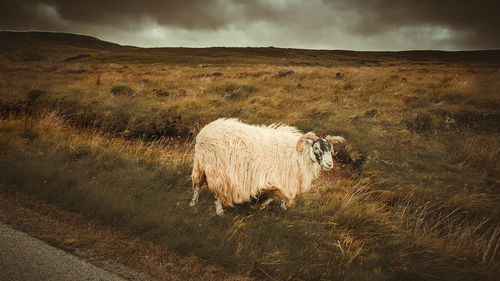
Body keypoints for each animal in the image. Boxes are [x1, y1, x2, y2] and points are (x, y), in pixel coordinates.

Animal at [188, 117, 344, 215]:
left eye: (331, 148)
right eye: (316, 147)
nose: (330, 164)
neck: (299, 154)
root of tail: (203, 134)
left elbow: (276, 195)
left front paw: (272, 205)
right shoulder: (283, 178)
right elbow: (279, 195)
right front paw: (274, 206)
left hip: (200, 164)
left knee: (196, 185)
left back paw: (193, 203)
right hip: (217, 169)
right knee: (213, 192)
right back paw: (219, 211)